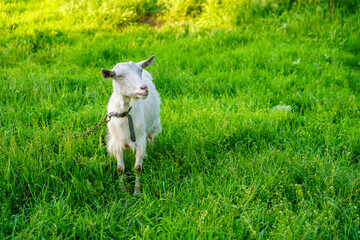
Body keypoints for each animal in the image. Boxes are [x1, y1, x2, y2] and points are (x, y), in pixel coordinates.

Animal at [100, 56, 161, 195]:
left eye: (140, 70)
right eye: (120, 75)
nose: (144, 88)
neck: (125, 113)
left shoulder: (139, 140)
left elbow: (138, 167)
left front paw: (137, 191)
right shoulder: (117, 142)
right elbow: (120, 169)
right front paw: (122, 190)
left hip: (153, 123)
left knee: (151, 137)